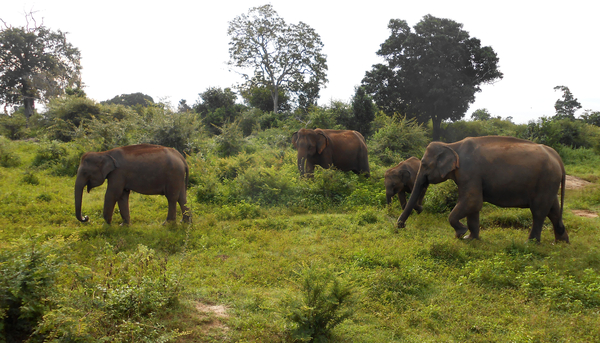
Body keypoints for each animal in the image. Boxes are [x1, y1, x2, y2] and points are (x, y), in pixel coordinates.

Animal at [396, 136, 568, 243]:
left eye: (424, 164)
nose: (400, 226)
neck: (451, 145)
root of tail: (558, 157)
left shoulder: (469, 172)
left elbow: (472, 201)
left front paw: (460, 233)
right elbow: (473, 206)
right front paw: (470, 239)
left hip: (546, 180)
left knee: (538, 212)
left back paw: (530, 243)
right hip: (549, 183)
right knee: (553, 210)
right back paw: (561, 242)